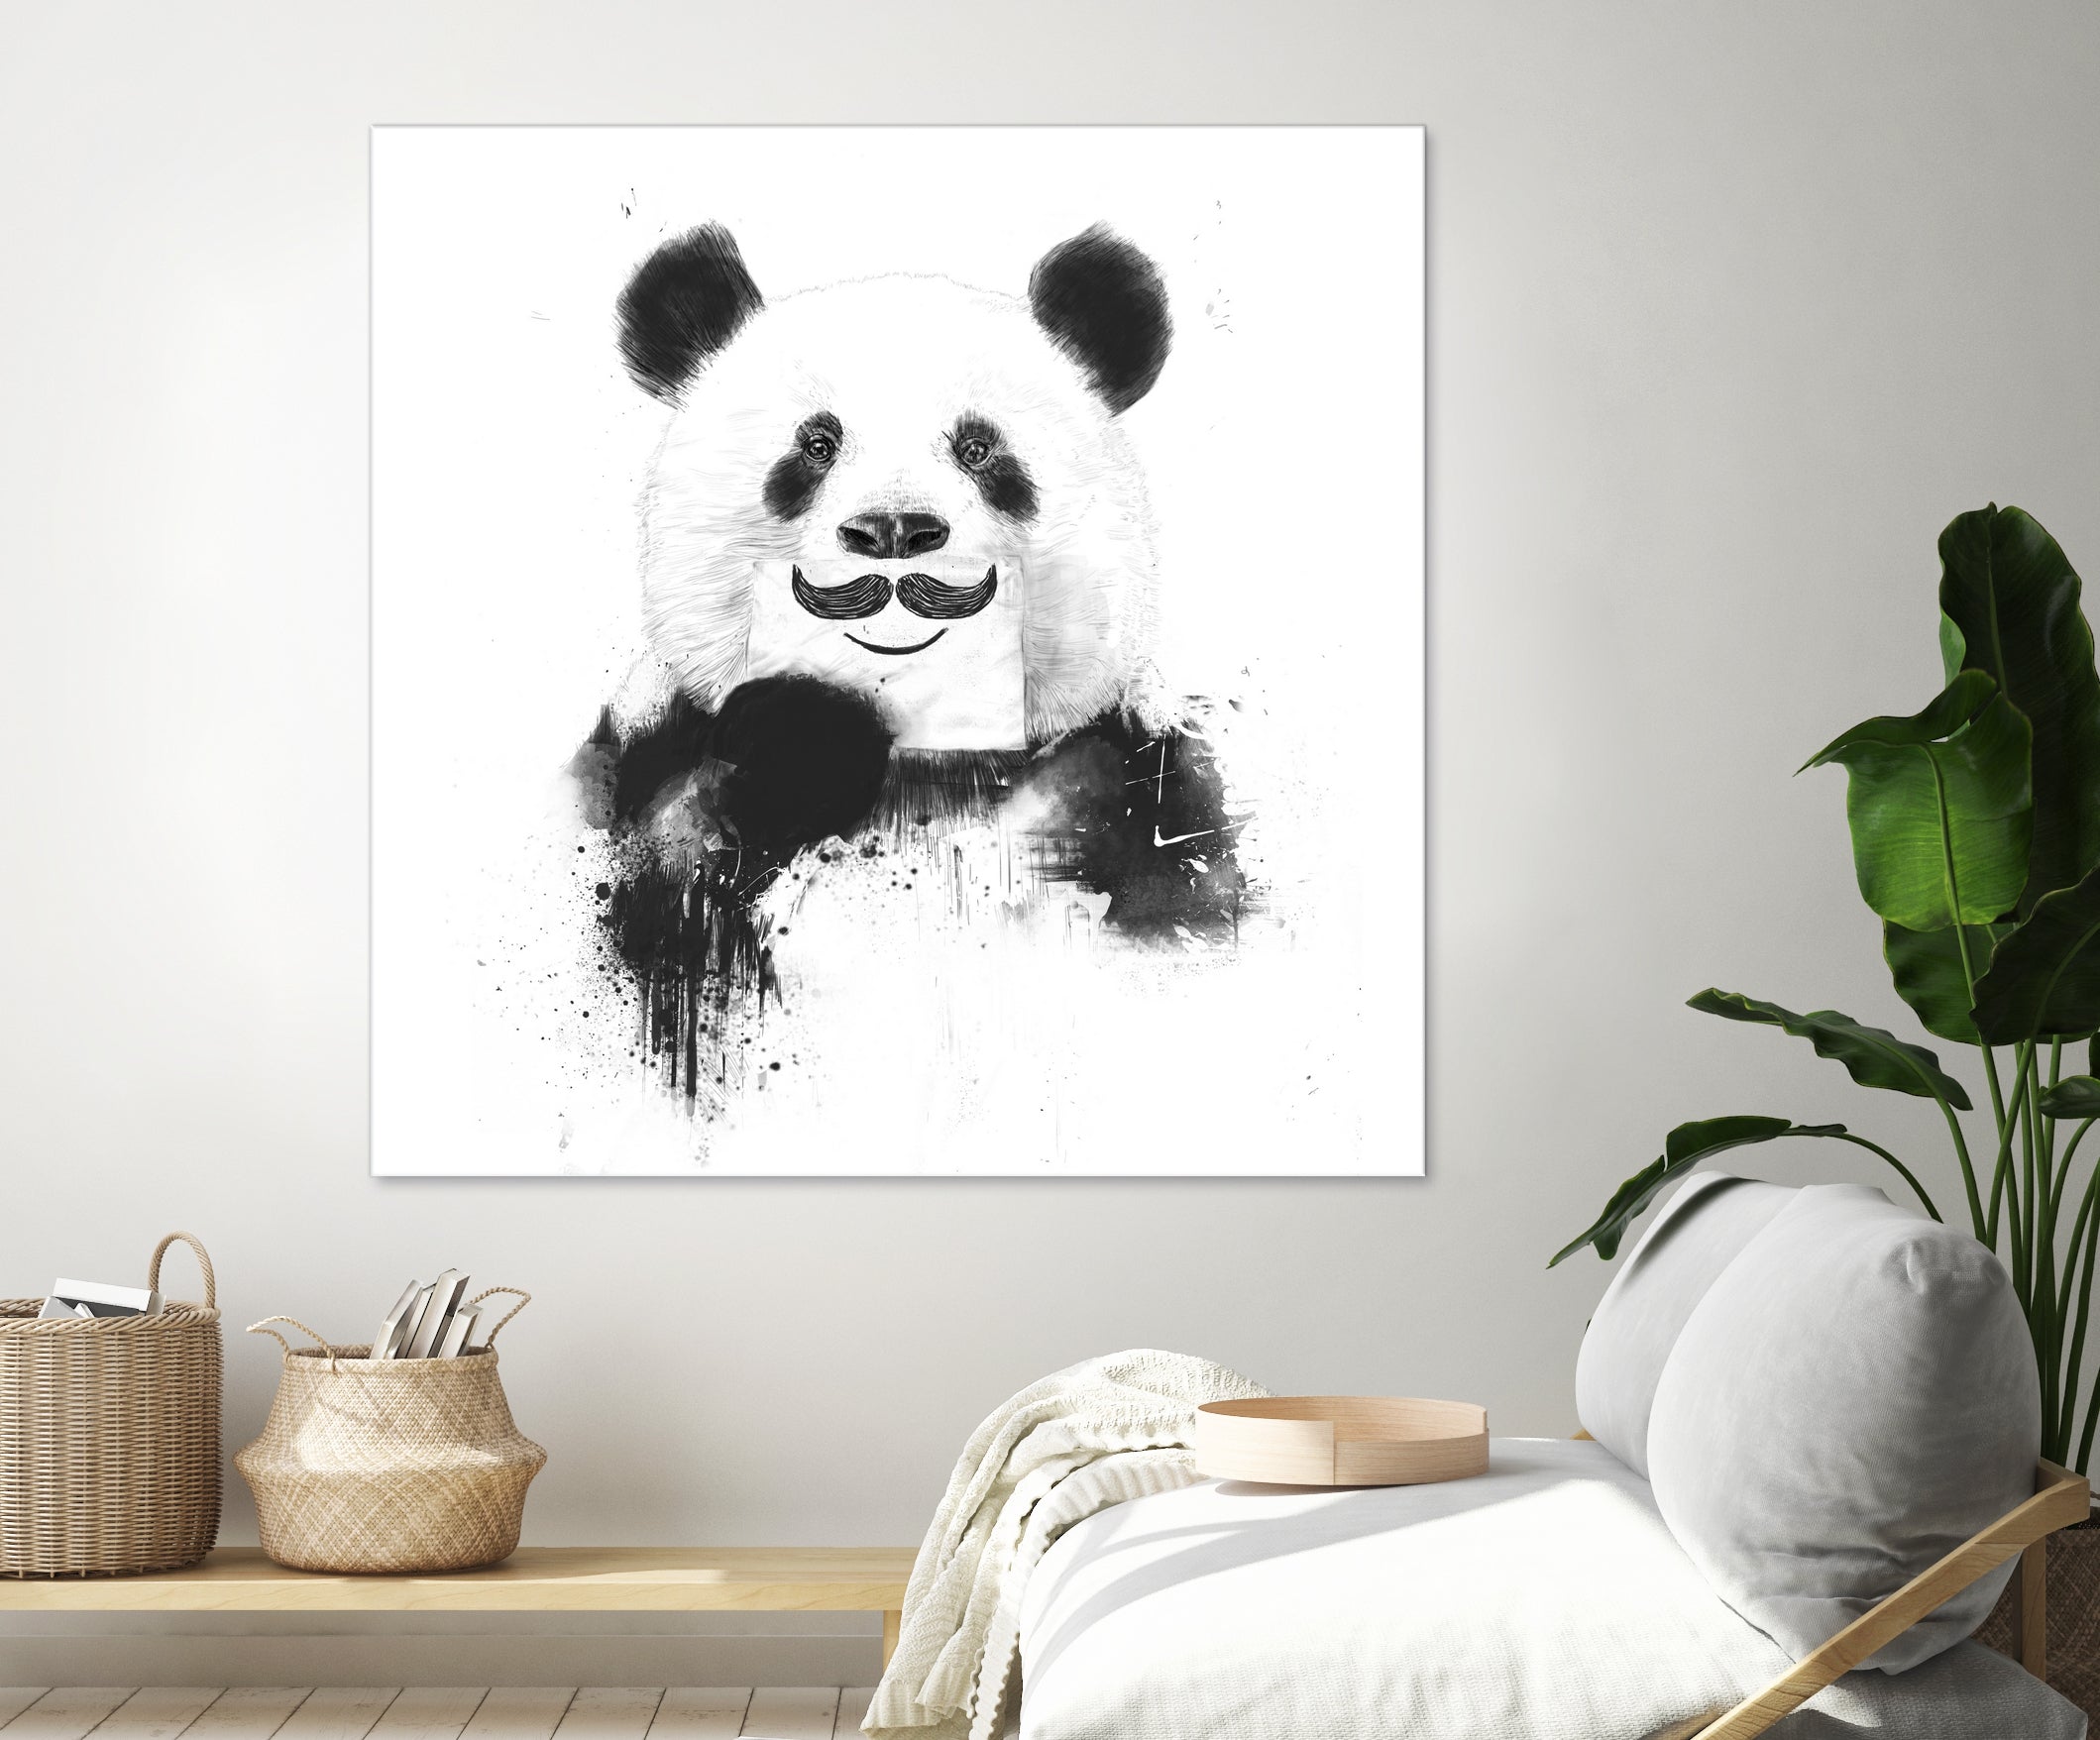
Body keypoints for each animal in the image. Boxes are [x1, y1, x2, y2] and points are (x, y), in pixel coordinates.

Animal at [570, 222, 1248, 1111]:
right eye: (816, 445)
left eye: (978, 447)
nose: (893, 529)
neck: (921, 762)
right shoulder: (640, 769)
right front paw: (800, 739)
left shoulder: (1135, 776)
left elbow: (1184, 897)